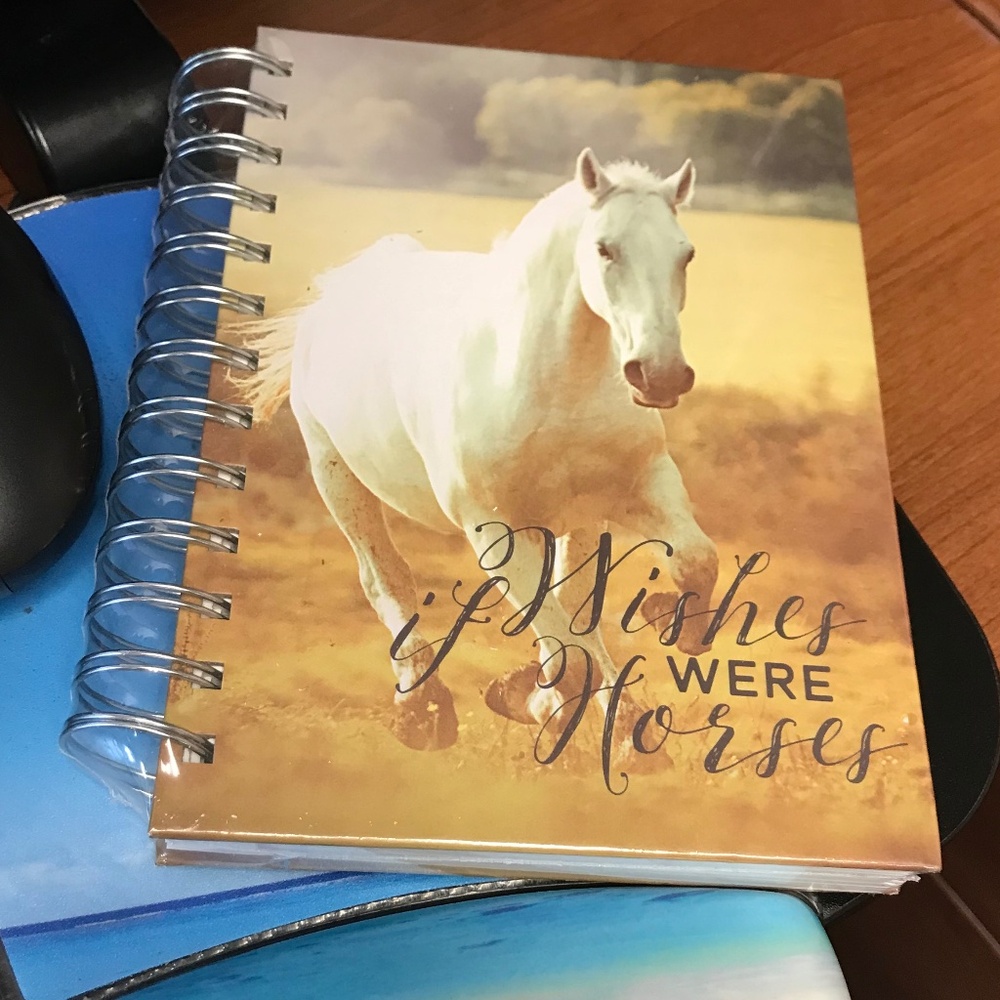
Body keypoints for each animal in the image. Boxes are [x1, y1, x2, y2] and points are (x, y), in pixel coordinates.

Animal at [242, 147, 719, 758]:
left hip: (577, 519)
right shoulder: (493, 529)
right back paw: (422, 712)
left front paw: (668, 633)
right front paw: (542, 704)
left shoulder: (635, 488)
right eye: (604, 248)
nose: (660, 376)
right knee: (384, 581)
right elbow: (561, 634)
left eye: (686, 253)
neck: (546, 381)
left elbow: (693, 561)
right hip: (337, 478)